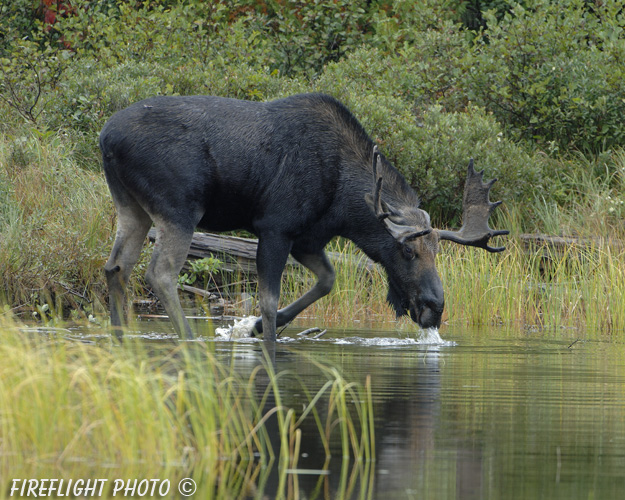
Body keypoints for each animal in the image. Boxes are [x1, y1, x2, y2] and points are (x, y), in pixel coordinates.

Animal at [98, 93, 508, 340]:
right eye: (407, 251)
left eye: (437, 252)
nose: (435, 308)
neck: (344, 203)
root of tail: (105, 138)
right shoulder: (276, 227)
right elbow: (268, 297)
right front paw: (261, 332)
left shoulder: (309, 238)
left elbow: (327, 280)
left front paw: (257, 326)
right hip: (179, 209)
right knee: (159, 272)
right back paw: (188, 338)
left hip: (131, 207)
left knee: (116, 267)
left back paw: (120, 336)